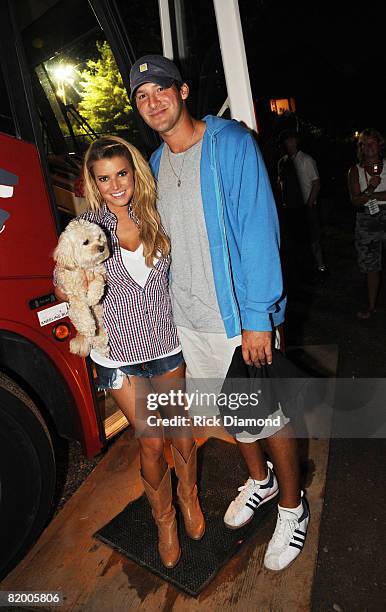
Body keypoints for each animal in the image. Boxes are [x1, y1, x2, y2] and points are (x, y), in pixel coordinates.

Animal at [53, 218, 110, 356]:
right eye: (86, 242)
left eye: (99, 237)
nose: (102, 247)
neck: (86, 266)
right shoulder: (75, 295)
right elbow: (82, 312)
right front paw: (88, 327)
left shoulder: (100, 273)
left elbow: (98, 281)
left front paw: (93, 297)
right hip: (72, 312)